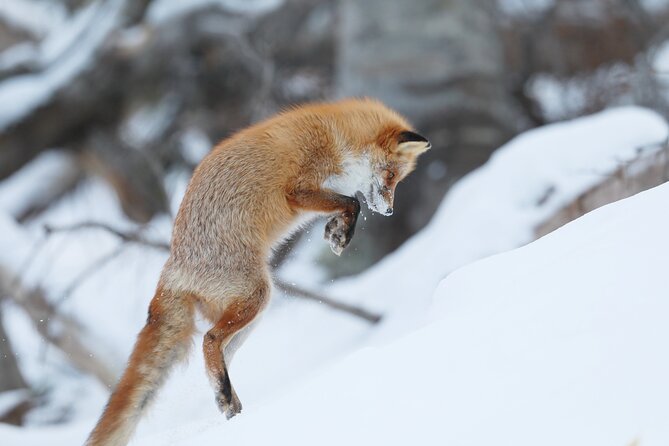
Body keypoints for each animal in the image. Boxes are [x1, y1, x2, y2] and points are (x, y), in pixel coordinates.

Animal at [85, 98, 428, 446]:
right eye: (389, 175)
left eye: (398, 180)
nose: (390, 211)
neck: (337, 139)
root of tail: (172, 267)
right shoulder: (299, 189)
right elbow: (351, 202)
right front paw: (341, 233)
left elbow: (347, 203)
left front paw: (336, 230)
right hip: (258, 294)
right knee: (209, 340)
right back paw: (227, 398)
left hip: (251, 315)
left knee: (217, 353)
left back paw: (229, 402)